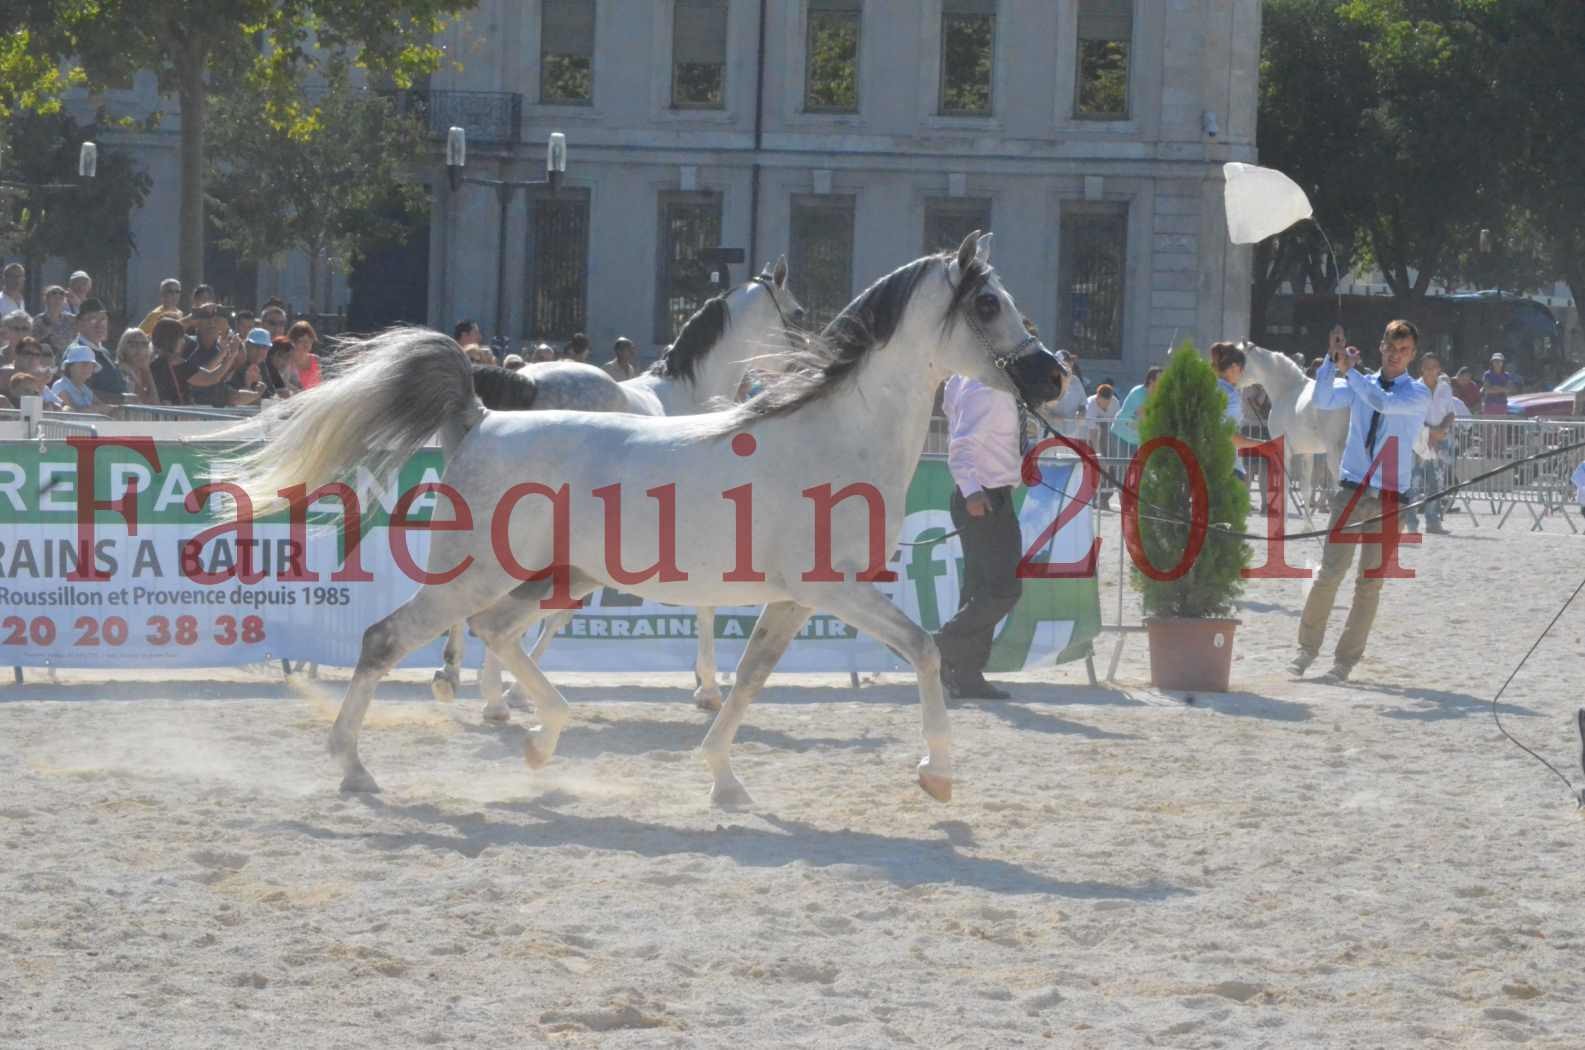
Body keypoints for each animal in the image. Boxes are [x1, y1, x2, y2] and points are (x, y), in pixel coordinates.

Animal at [434, 261, 805, 716]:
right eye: (798, 313)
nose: (806, 367)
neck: (689, 394)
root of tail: (525, 380)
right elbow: (701, 603)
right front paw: (707, 687)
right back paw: (489, 692)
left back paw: (452, 675)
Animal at [1229, 339, 1344, 501]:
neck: (1287, 389)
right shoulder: (1308, 452)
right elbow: (1305, 490)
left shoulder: (1284, 450)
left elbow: (1285, 488)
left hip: (1335, 453)